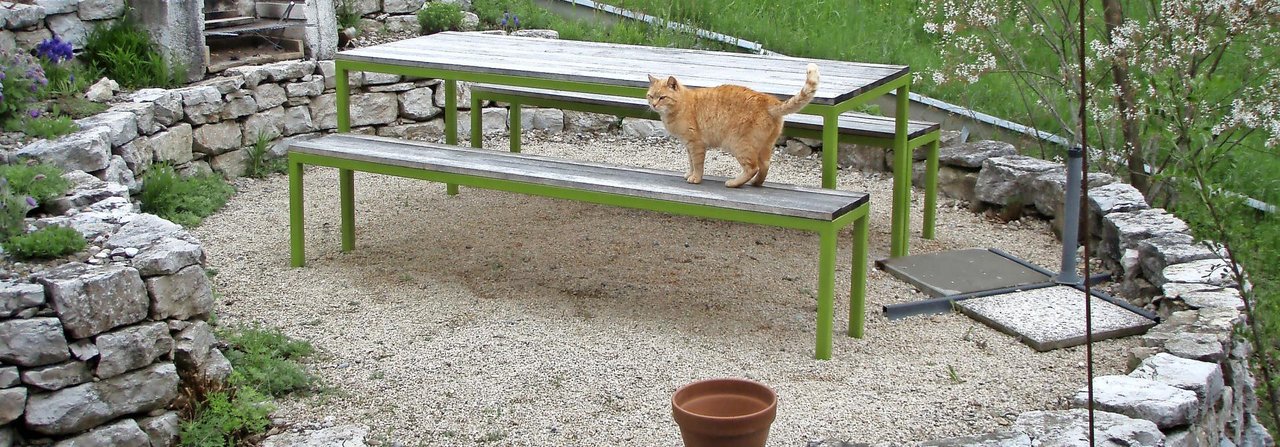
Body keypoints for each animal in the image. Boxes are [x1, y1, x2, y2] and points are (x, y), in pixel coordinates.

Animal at [650, 62, 819, 185]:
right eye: (651, 96)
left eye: (662, 97)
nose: (653, 104)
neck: (682, 104)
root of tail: (769, 101)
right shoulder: (688, 145)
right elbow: (691, 162)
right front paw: (690, 174)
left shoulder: (696, 144)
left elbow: (697, 164)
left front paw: (696, 178)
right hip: (764, 147)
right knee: (765, 166)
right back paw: (755, 184)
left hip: (738, 144)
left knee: (753, 167)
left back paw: (733, 183)